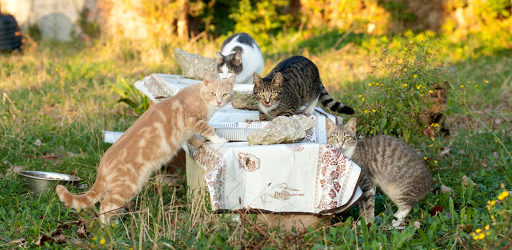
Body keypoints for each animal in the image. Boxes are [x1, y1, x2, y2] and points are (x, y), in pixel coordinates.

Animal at [56, 73, 236, 223]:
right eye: (212, 93)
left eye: (225, 94)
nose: (219, 102)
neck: (199, 95)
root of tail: (103, 164)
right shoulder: (194, 120)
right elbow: (209, 129)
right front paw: (220, 139)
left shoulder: (188, 130)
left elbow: (192, 137)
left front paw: (199, 142)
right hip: (127, 187)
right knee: (105, 206)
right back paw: (109, 227)